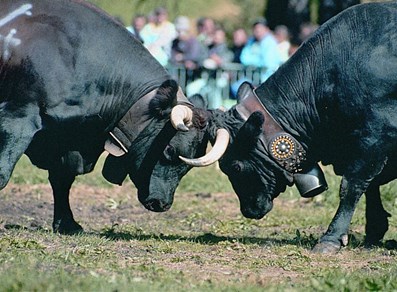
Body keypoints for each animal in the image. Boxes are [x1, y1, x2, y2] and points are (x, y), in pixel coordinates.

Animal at [0, 0, 220, 233]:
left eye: (188, 166)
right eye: (169, 150)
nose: (161, 204)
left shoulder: (67, 139)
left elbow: (62, 179)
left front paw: (67, 223)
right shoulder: (18, 117)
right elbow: (3, 173)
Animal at [181, 1, 396, 253]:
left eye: (234, 166)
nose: (248, 210)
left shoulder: (374, 137)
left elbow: (352, 186)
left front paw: (331, 238)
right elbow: (372, 186)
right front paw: (374, 230)